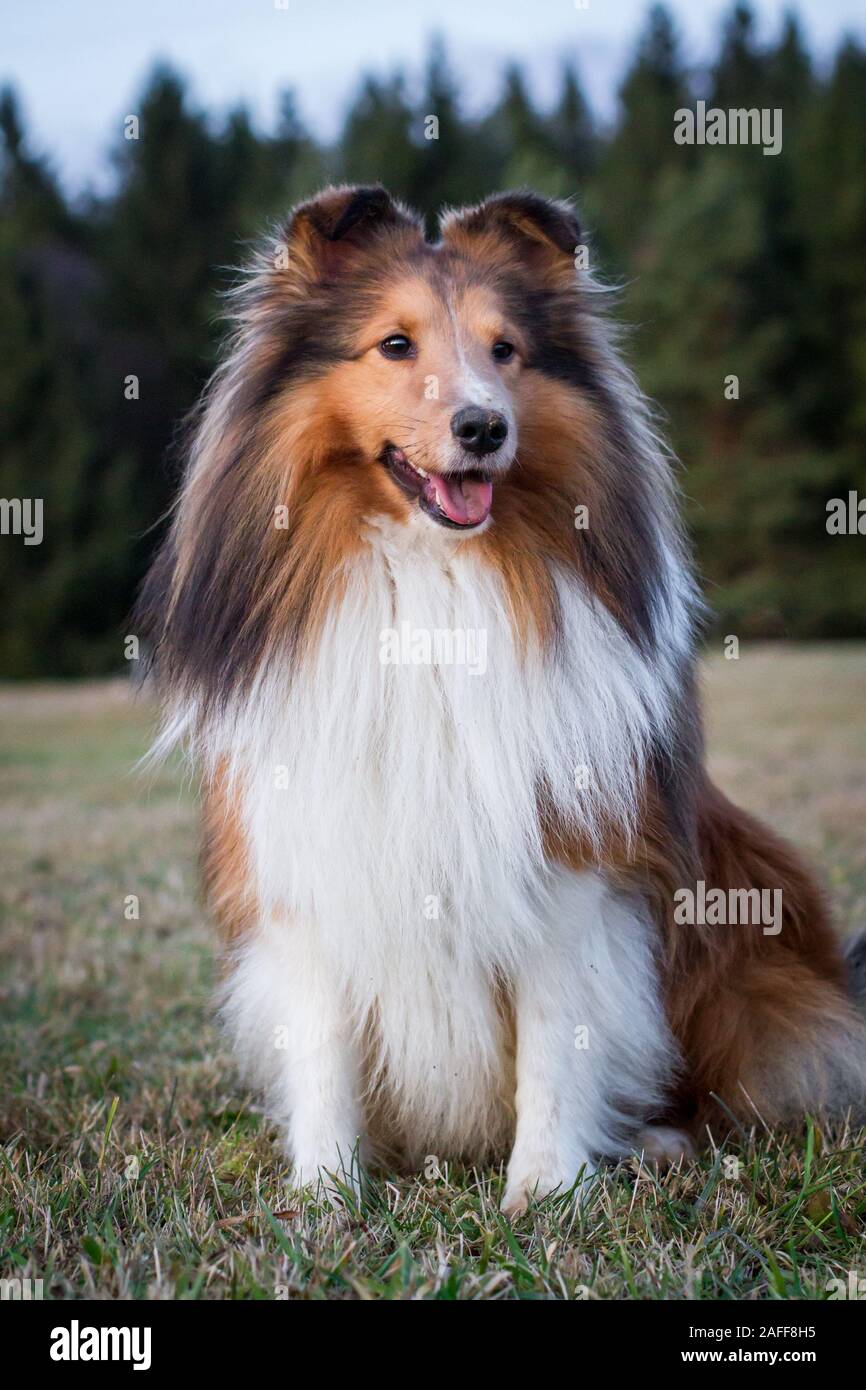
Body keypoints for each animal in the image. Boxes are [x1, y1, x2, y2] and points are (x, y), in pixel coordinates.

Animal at [139, 187, 861, 1217]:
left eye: (505, 349)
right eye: (395, 345)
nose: (484, 428)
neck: (432, 583)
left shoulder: (574, 867)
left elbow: (559, 1041)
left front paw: (545, 1195)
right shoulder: (308, 859)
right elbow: (323, 1050)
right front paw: (325, 1198)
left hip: (747, 933)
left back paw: (656, 1141)